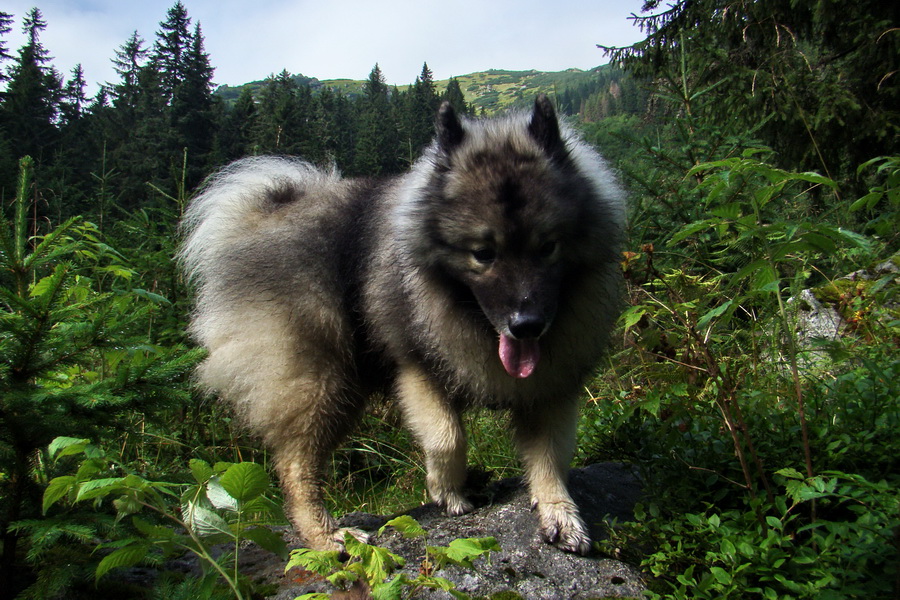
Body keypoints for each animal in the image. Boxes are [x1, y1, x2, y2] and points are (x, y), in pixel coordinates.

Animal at [179, 95, 624, 552]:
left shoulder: (550, 386)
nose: (527, 324)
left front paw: (559, 512)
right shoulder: (416, 367)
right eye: (483, 253)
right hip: (322, 382)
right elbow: (447, 436)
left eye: (547, 247)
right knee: (294, 467)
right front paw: (448, 490)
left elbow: (549, 456)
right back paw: (325, 536)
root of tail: (267, 212)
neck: (470, 317)